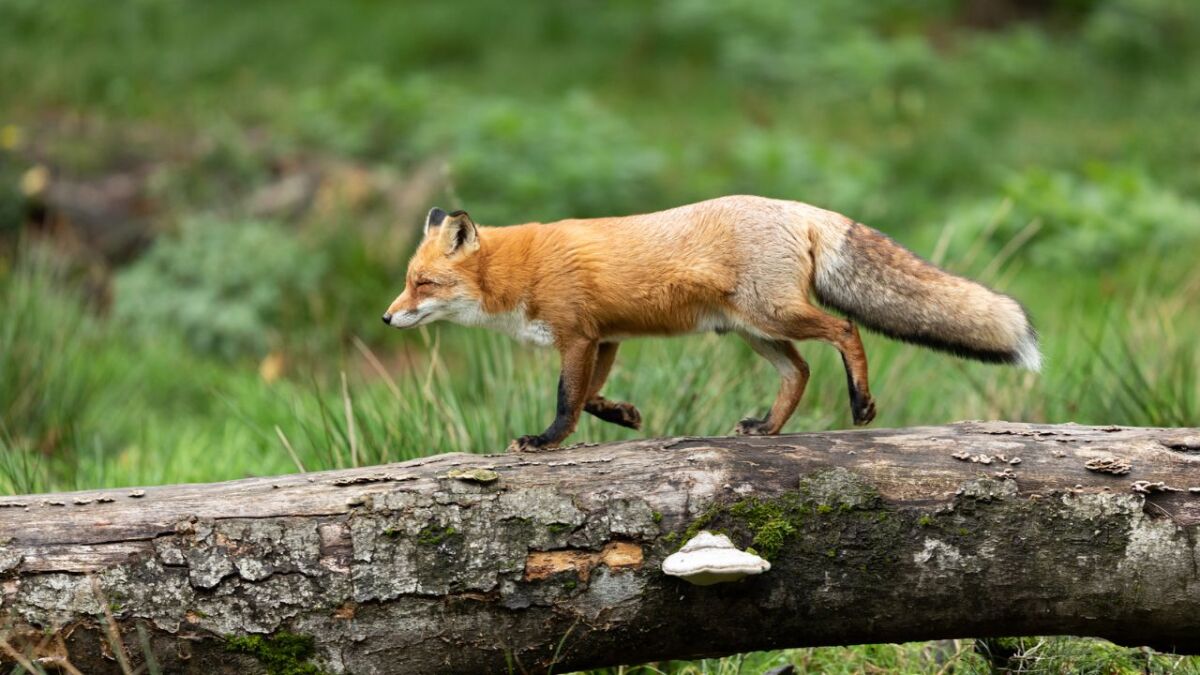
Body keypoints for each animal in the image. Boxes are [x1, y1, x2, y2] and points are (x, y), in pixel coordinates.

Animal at [386, 194, 1041, 451]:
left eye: (422, 284)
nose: (388, 316)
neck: (519, 271)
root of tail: (796, 206)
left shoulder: (577, 337)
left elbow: (567, 399)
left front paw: (544, 441)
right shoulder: (606, 337)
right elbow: (592, 396)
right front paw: (625, 415)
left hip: (773, 314)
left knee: (845, 332)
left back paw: (861, 403)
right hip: (754, 331)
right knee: (800, 372)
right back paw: (769, 429)